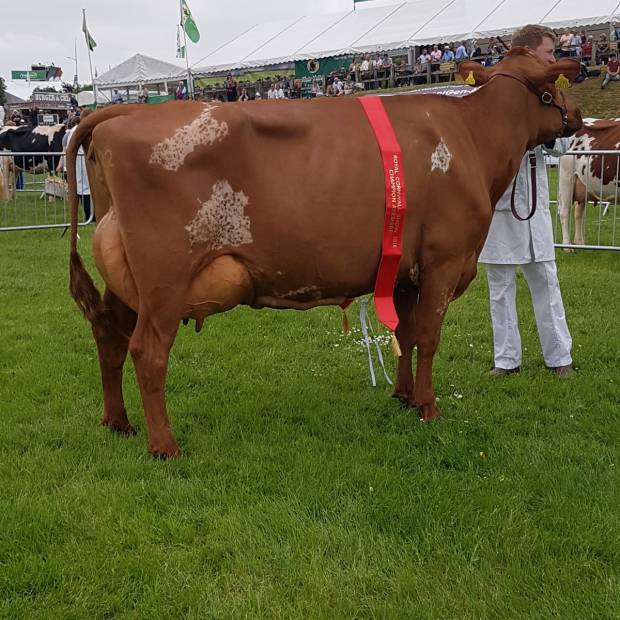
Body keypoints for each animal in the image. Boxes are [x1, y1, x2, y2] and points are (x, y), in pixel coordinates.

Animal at [68, 50, 580, 458]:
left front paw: (403, 397)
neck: (470, 137)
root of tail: (118, 114)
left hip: (127, 280)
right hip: (164, 281)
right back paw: (164, 446)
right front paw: (429, 408)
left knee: (108, 334)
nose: (576, 118)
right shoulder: (443, 261)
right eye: (553, 85)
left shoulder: (405, 272)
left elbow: (405, 334)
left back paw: (118, 423)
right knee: (147, 351)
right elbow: (429, 338)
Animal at [556, 117, 620, 248]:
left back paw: (580, 243)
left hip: (582, 185)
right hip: (566, 177)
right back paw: (567, 246)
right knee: (565, 211)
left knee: (578, 212)